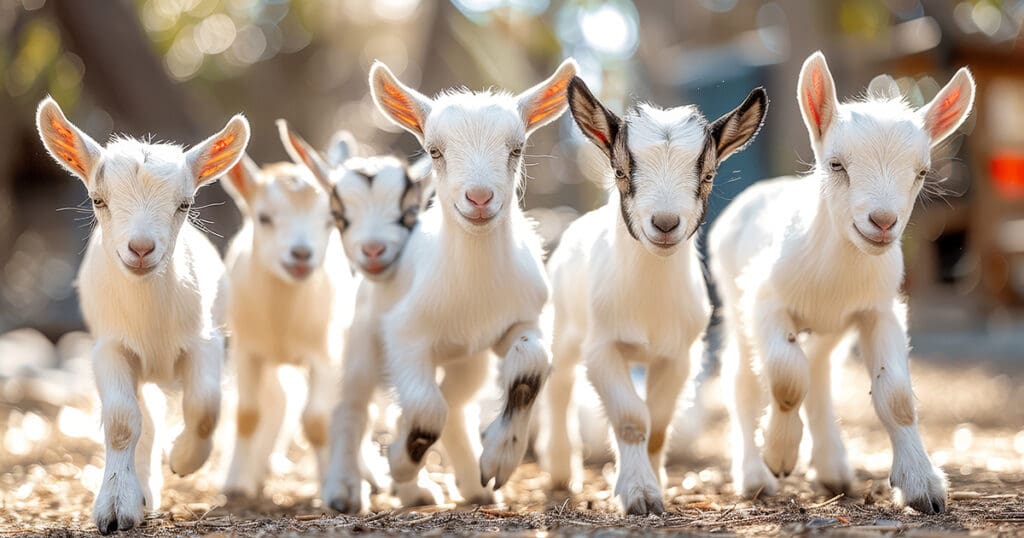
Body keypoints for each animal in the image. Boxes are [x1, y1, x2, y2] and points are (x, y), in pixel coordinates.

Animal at [36, 97, 249, 534]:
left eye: (185, 204)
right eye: (98, 199)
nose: (140, 248)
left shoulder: (205, 342)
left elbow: (205, 408)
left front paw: (183, 458)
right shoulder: (109, 348)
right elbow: (122, 422)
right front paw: (116, 507)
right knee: (146, 415)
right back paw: (143, 492)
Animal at [220, 153, 354, 498]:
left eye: (330, 220)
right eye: (264, 217)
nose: (301, 254)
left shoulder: (323, 354)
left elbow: (318, 420)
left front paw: (329, 488)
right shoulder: (247, 351)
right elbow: (248, 414)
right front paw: (237, 483)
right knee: (281, 399)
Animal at [278, 121, 440, 513]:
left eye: (408, 215)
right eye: (340, 217)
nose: (373, 249)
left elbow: (409, 412)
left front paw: (414, 487)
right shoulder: (356, 352)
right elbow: (349, 408)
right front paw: (343, 490)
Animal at [544, 77, 767, 514]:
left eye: (708, 175)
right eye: (620, 171)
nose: (664, 224)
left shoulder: (678, 355)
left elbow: (659, 423)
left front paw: (656, 483)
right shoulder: (603, 348)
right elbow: (632, 419)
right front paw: (638, 494)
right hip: (564, 326)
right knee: (560, 386)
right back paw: (561, 471)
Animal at [708, 51, 975, 514]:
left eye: (922, 172)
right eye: (837, 164)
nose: (882, 222)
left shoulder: (879, 310)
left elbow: (897, 398)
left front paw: (922, 485)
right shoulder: (765, 301)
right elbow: (785, 378)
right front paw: (779, 453)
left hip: (831, 331)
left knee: (819, 374)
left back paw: (831, 468)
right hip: (736, 304)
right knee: (743, 381)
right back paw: (755, 476)